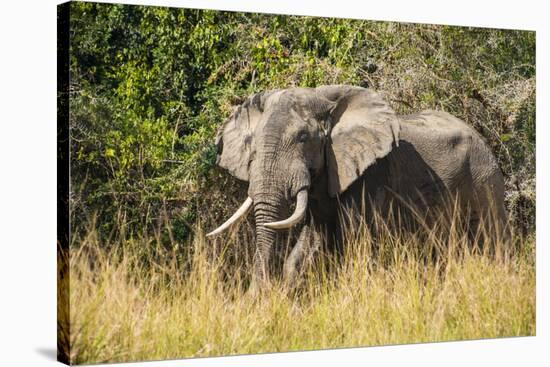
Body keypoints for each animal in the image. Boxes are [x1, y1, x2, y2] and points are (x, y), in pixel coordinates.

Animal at [208, 85, 508, 292]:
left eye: (303, 138)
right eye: (252, 143)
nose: (256, 298)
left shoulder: (368, 177)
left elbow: (355, 245)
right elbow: (307, 247)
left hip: (484, 178)